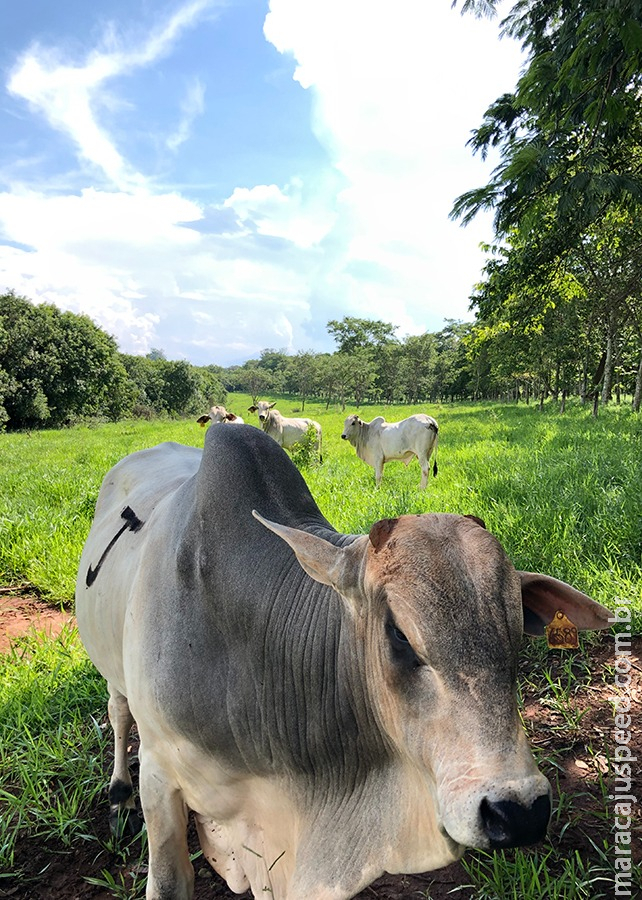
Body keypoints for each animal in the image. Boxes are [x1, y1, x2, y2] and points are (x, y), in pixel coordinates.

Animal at [76, 424, 608, 900]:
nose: (519, 812)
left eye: (516, 628)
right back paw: (118, 796)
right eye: (399, 633)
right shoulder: (160, 773)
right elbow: (168, 882)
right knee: (118, 713)